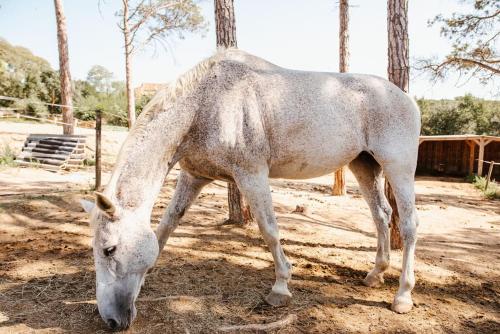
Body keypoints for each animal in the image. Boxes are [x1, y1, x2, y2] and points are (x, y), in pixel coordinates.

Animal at [81, 49, 418, 328]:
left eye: (109, 249)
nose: (111, 320)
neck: (206, 103)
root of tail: (407, 99)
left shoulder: (252, 174)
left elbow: (269, 229)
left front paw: (280, 288)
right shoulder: (193, 177)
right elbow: (167, 225)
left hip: (398, 167)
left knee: (409, 225)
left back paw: (402, 296)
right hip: (364, 165)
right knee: (381, 215)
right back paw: (375, 274)